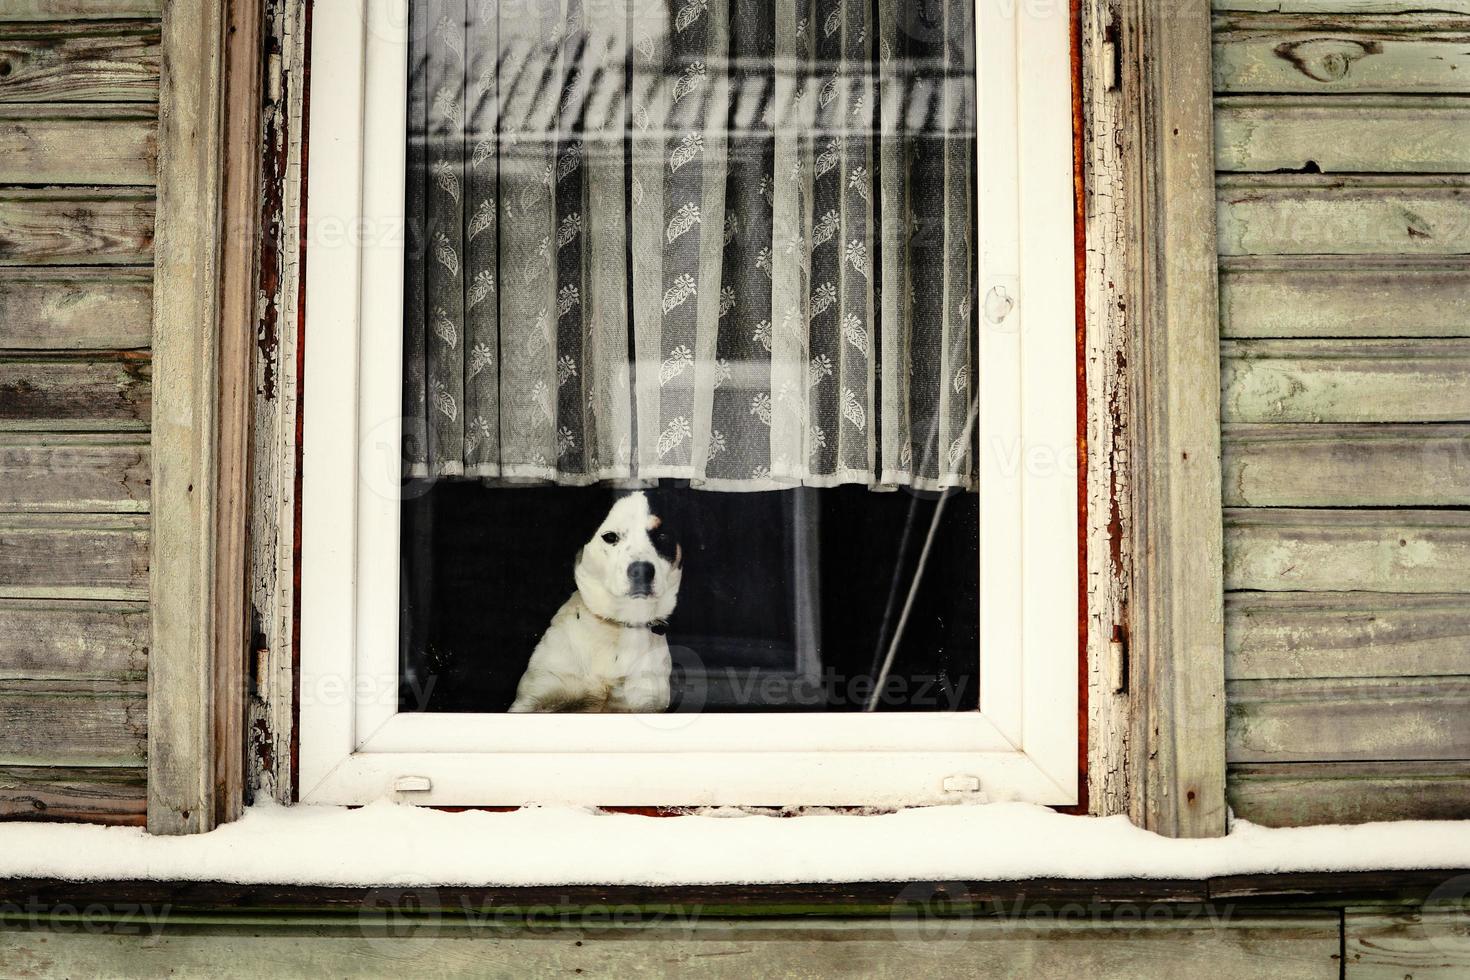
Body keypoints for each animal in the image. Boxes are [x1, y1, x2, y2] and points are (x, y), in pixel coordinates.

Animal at [511, 490, 682, 714]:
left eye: (662, 536)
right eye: (610, 537)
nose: (642, 571)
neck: (617, 627)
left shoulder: (645, 704)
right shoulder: (532, 699)